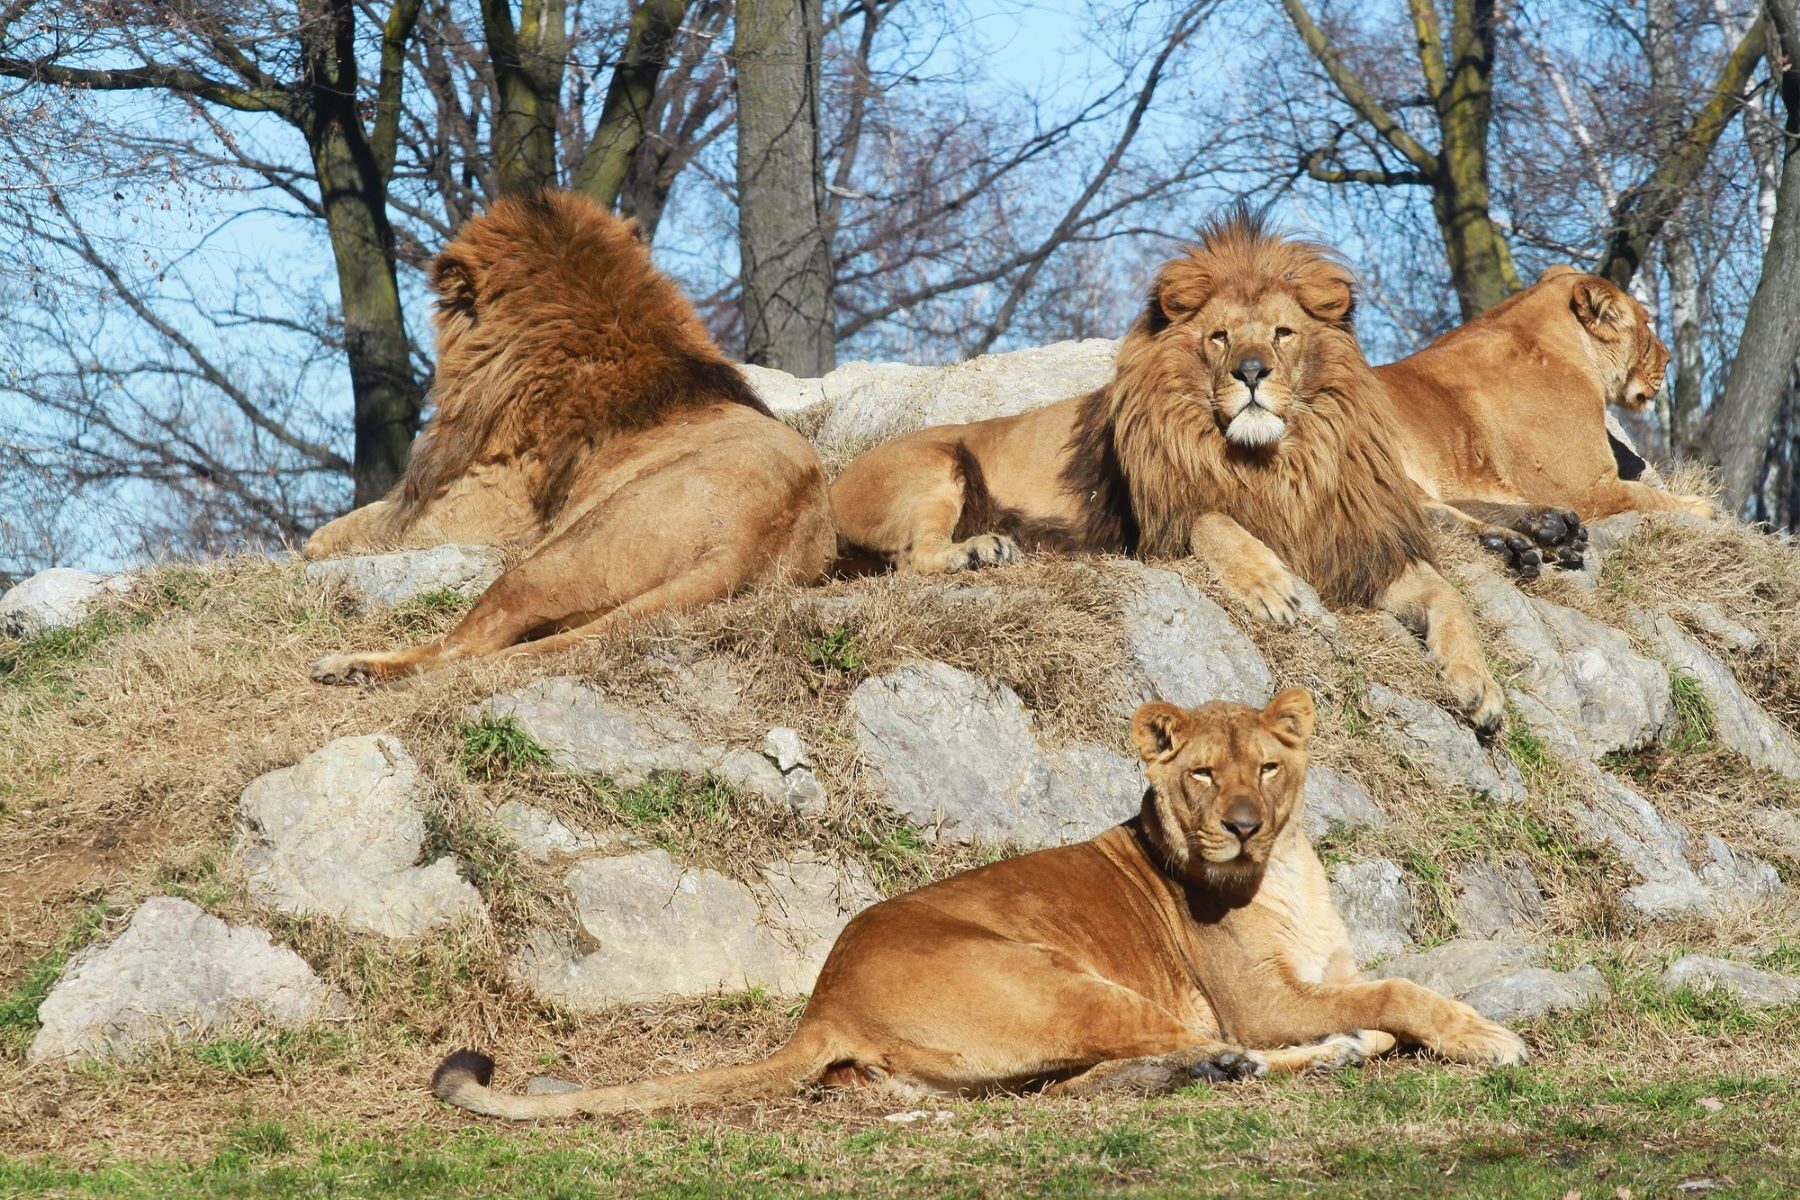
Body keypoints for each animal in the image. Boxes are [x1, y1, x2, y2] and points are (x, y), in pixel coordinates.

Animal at [304, 189, 835, 683]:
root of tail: (744, 546)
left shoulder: (476, 508)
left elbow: (357, 525)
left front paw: (313, 546)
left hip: (553, 556)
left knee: (463, 648)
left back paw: (348, 664)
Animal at [432, 690, 1519, 1122]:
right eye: (1205, 775)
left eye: (1268, 767)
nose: (1245, 827)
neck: (1285, 873)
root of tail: (826, 999)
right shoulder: (1262, 1001)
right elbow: (1402, 992)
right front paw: (1487, 1038)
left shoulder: (1321, 975)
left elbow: (1384, 979)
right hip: (1061, 981)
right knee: (1145, 1061)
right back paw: (1299, 1056)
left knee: (1083, 1082)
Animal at [828, 212, 1504, 734]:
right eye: (1220, 337)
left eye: (1284, 333)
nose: (1251, 371)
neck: (1276, 464)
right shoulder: (1157, 533)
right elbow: (1215, 522)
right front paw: (1271, 586)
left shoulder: (1356, 550)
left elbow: (1449, 597)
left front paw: (1480, 687)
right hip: (938, 463)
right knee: (912, 557)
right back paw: (980, 550)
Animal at [1375, 264, 1713, 582]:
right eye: (1646, 323)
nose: (1668, 359)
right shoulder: (1585, 489)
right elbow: (1647, 496)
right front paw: (1702, 507)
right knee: (1425, 516)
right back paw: (1512, 541)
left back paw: (1551, 528)